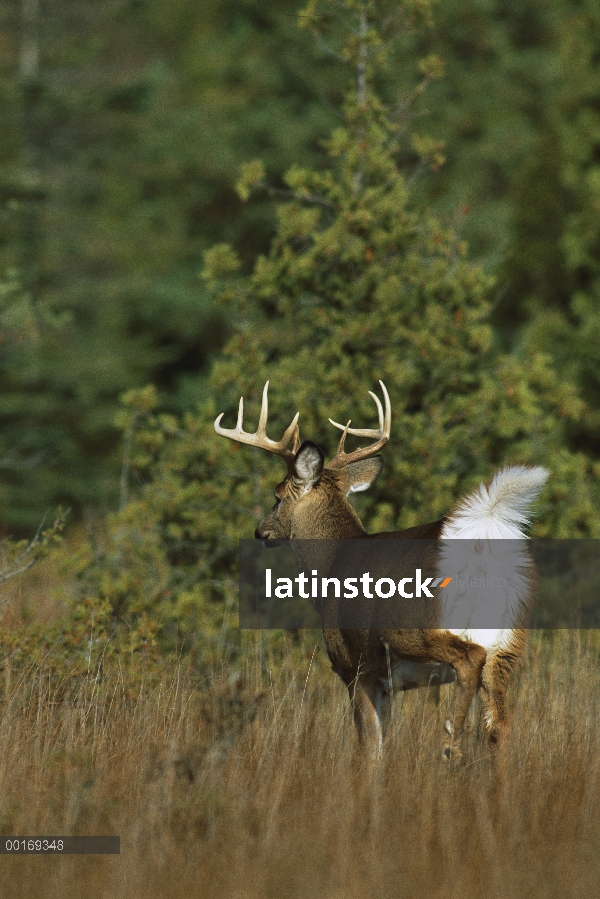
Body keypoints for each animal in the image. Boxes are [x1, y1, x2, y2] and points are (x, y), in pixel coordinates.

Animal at [216, 380, 548, 760]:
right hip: (508, 645)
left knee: (469, 660)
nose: (261, 532)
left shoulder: (357, 667)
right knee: (499, 729)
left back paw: (449, 744)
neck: (330, 566)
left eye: (277, 495)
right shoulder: (387, 684)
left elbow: (369, 748)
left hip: (417, 629)